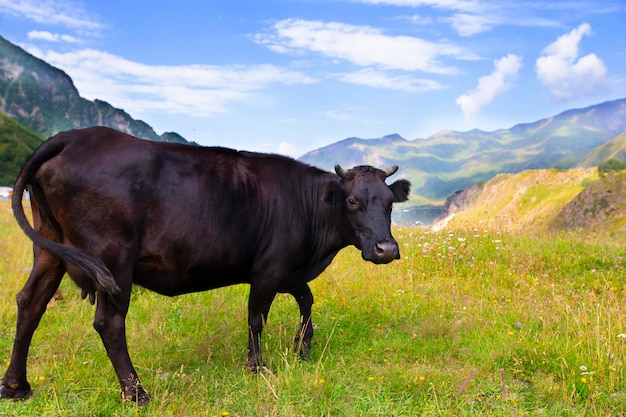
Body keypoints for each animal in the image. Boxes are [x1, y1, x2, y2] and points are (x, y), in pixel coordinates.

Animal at [1, 126, 410, 404]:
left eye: (390, 202)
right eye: (353, 201)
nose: (386, 248)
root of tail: (72, 136)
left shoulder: (288, 270)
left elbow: (307, 299)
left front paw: (302, 346)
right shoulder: (269, 268)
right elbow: (257, 317)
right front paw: (257, 366)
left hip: (50, 248)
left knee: (30, 303)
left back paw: (16, 386)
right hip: (113, 259)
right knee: (108, 323)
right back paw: (136, 393)